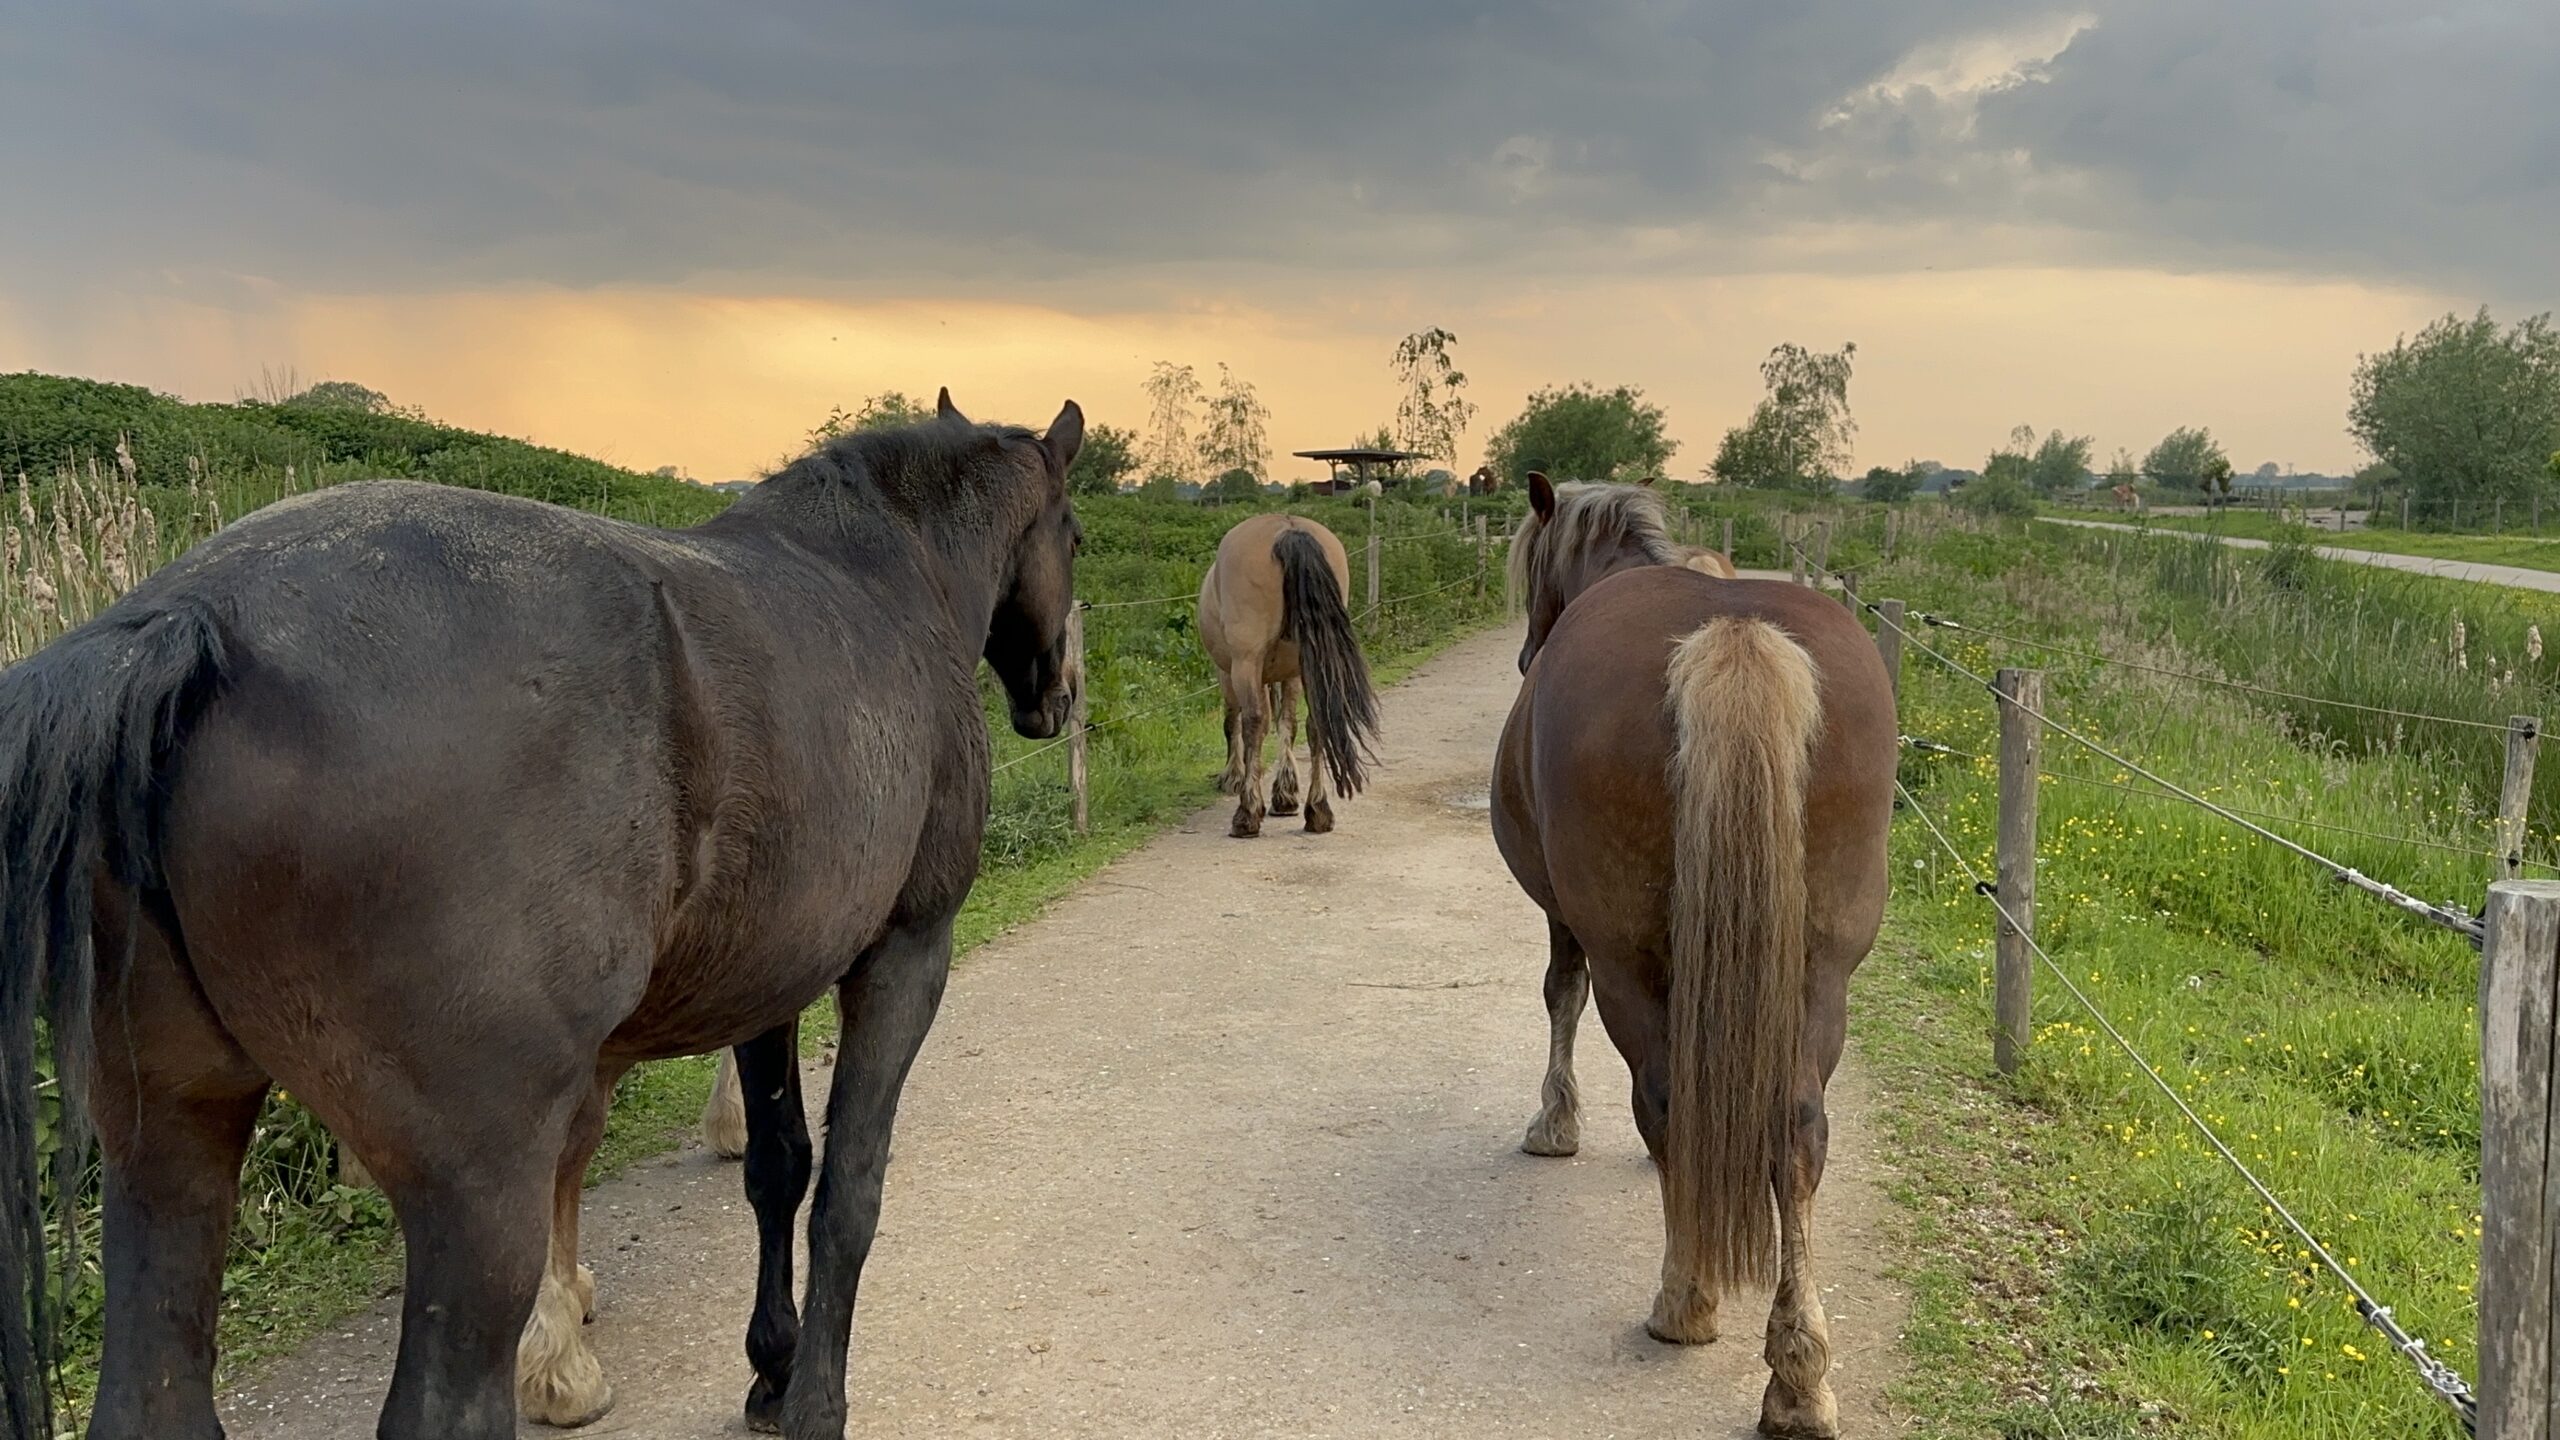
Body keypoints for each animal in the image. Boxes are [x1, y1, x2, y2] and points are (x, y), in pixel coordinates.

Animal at [0, 386, 1085, 1424]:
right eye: (1073, 536)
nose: (1058, 695)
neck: (884, 580)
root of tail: (190, 619)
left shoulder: (770, 979)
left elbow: (778, 1166)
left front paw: (771, 1371)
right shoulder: (907, 952)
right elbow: (848, 1190)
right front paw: (813, 1402)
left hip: (169, 1143)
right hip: (476, 1194)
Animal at [1192, 512, 1382, 830]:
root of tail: (1289, 529)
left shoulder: (1227, 672)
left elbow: (1234, 722)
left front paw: (1235, 777)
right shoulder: (1291, 674)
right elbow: (1288, 724)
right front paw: (1285, 794)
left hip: (1245, 662)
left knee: (1253, 720)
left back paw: (1247, 814)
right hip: (1309, 663)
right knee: (1316, 721)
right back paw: (1318, 810)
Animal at [1495, 474, 1894, 1434]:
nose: (1525, 655)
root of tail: (1734, 637)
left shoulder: (1568, 921)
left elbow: (1559, 996)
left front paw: (1555, 1125)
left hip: (1629, 961)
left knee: (1665, 1094)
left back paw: (1685, 1300)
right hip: (1823, 976)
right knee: (1797, 1130)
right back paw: (1799, 1380)